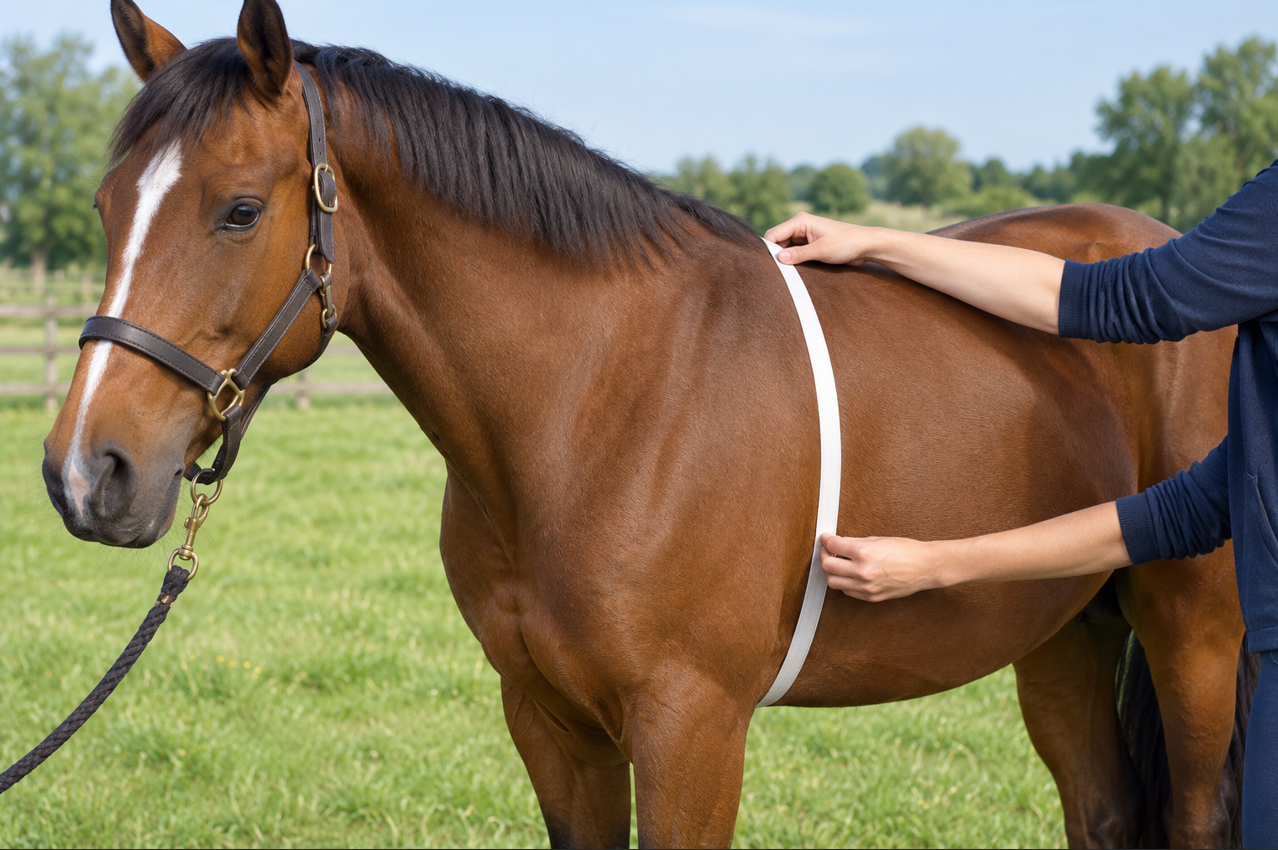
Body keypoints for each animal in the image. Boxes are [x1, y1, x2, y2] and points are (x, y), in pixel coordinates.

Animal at [40, 0, 1253, 845]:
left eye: (240, 210)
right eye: (104, 206)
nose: (88, 471)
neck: (601, 406)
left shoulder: (694, 730)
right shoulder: (549, 720)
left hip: (1195, 634)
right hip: (1062, 632)